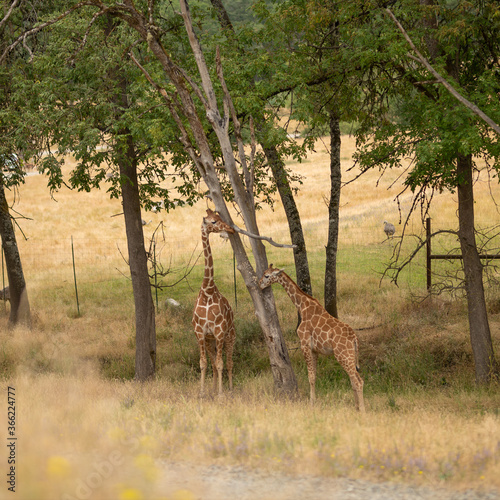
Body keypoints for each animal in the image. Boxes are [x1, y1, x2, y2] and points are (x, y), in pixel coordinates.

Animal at [260, 264, 366, 412]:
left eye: (267, 276)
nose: (259, 284)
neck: (302, 306)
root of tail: (354, 338)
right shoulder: (315, 349)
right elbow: (314, 376)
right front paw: (314, 401)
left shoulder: (304, 344)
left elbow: (310, 376)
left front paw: (311, 403)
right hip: (349, 356)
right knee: (354, 380)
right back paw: (356, 407)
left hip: (343, 355)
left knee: (358, 381)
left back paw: (362, 410)